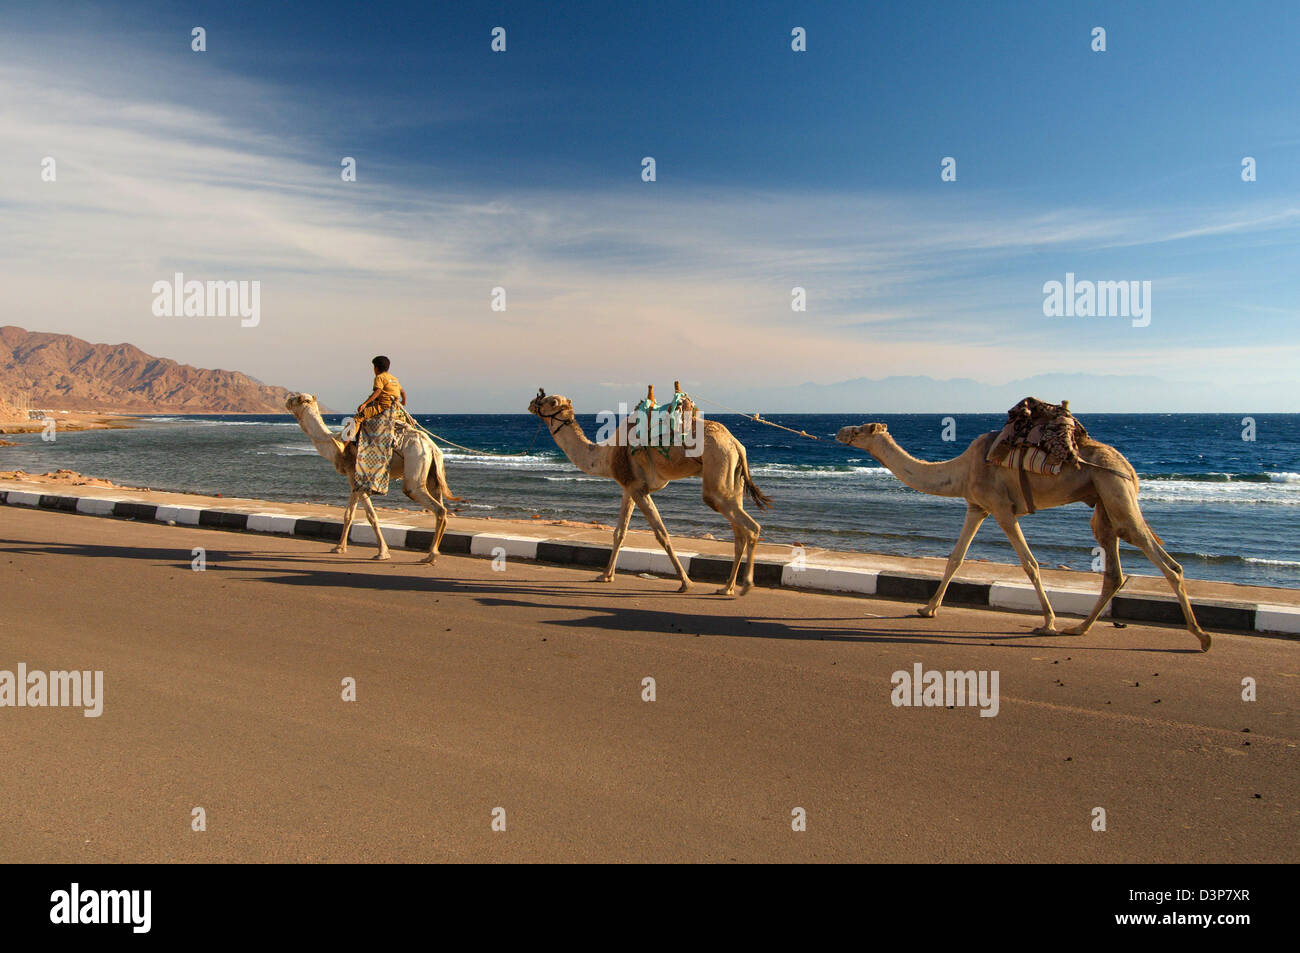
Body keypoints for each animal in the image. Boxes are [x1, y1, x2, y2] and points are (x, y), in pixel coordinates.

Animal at [287, 390, 460, 561]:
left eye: (301, 399)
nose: (288, 400)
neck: (335, 444)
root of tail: (432, 447)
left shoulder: (359, 477)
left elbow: (371, 515)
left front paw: (382, 552)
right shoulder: (353, 479)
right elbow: (348, 514)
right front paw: (339, 548)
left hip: (415, 461)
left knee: (432, 504)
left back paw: (431, 556)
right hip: (432, 473)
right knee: (440, 503)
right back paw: (433, 553)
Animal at [527, 387, 769, 595]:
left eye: (550, 401)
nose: (531, 403)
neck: (606, 455)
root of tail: (736, 443)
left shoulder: (638, 489)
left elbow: (662, 534)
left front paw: (685, 582)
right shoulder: (628, 488)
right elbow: (619, 533)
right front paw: (605, 575)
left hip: (717, 468)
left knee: (750, 527)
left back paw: (746, 585)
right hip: (732, 478)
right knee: (739, 533)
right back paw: (726, 587)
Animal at [837, 421, 1211, 650]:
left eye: (862, 429)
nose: (841, 430)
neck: (960, 471)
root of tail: (1130, 468)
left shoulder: (1002, 508)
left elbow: (1029, 563)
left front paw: (1048, 623)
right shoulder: (977, 507)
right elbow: (955, 558)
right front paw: (927, 609)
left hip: (1116, 493)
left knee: (1165, 561)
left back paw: (1201, 637)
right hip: (1104, 504)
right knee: (1114, 571)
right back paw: (1080, 628)